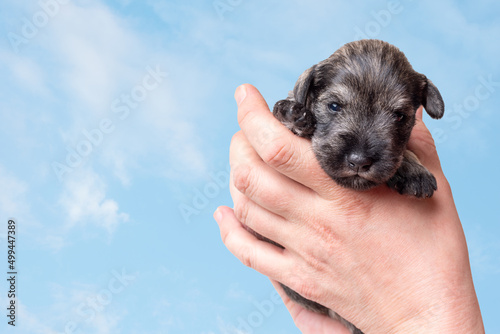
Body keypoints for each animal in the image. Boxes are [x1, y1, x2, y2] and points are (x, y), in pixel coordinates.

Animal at [272, 39, 444, 334]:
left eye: (400, 116)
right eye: (334, 106)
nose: (359, 161)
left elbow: (405, 151)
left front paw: (414, 169)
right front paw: (294, 117)